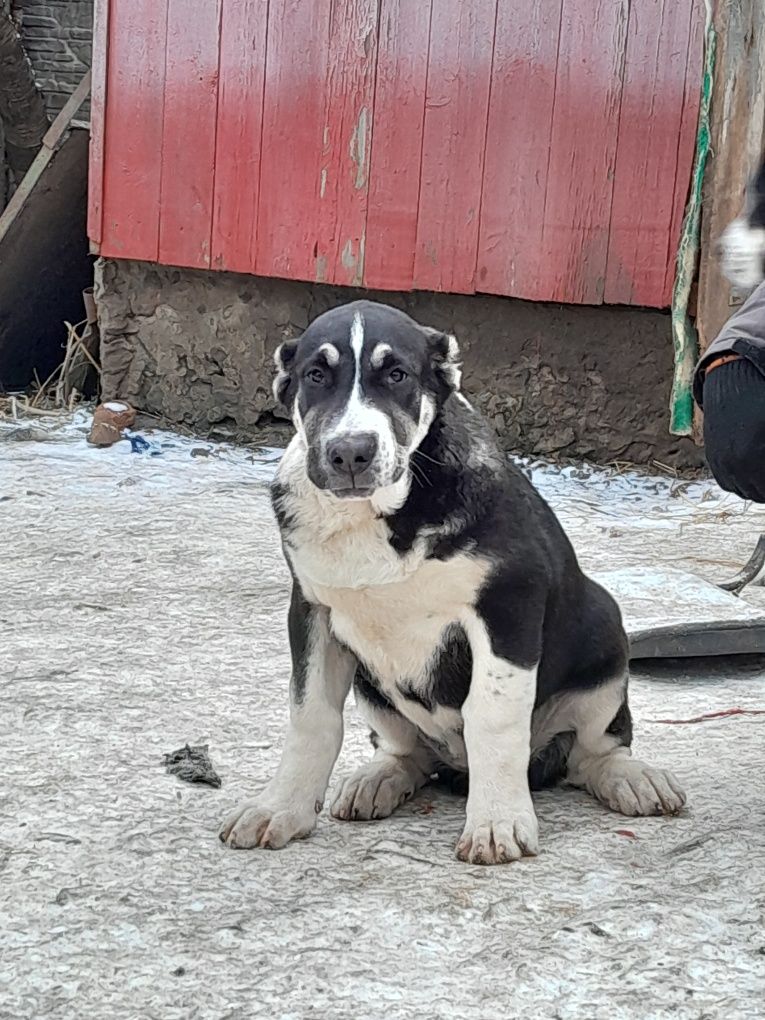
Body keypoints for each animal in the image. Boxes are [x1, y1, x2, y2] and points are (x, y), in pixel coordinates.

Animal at [218, 299, 685, 860]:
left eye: (397, 375)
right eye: (316, 376)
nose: (350, 453)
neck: (380, 513)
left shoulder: (507, 604)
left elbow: (492, 717)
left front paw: (496, 822)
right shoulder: (312, 611)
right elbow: (312, 716)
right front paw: (280, 808)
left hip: (605, 634)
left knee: (593, 752)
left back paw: (631, 778)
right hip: (372, 689)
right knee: (409, 754)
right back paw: (379, 778)